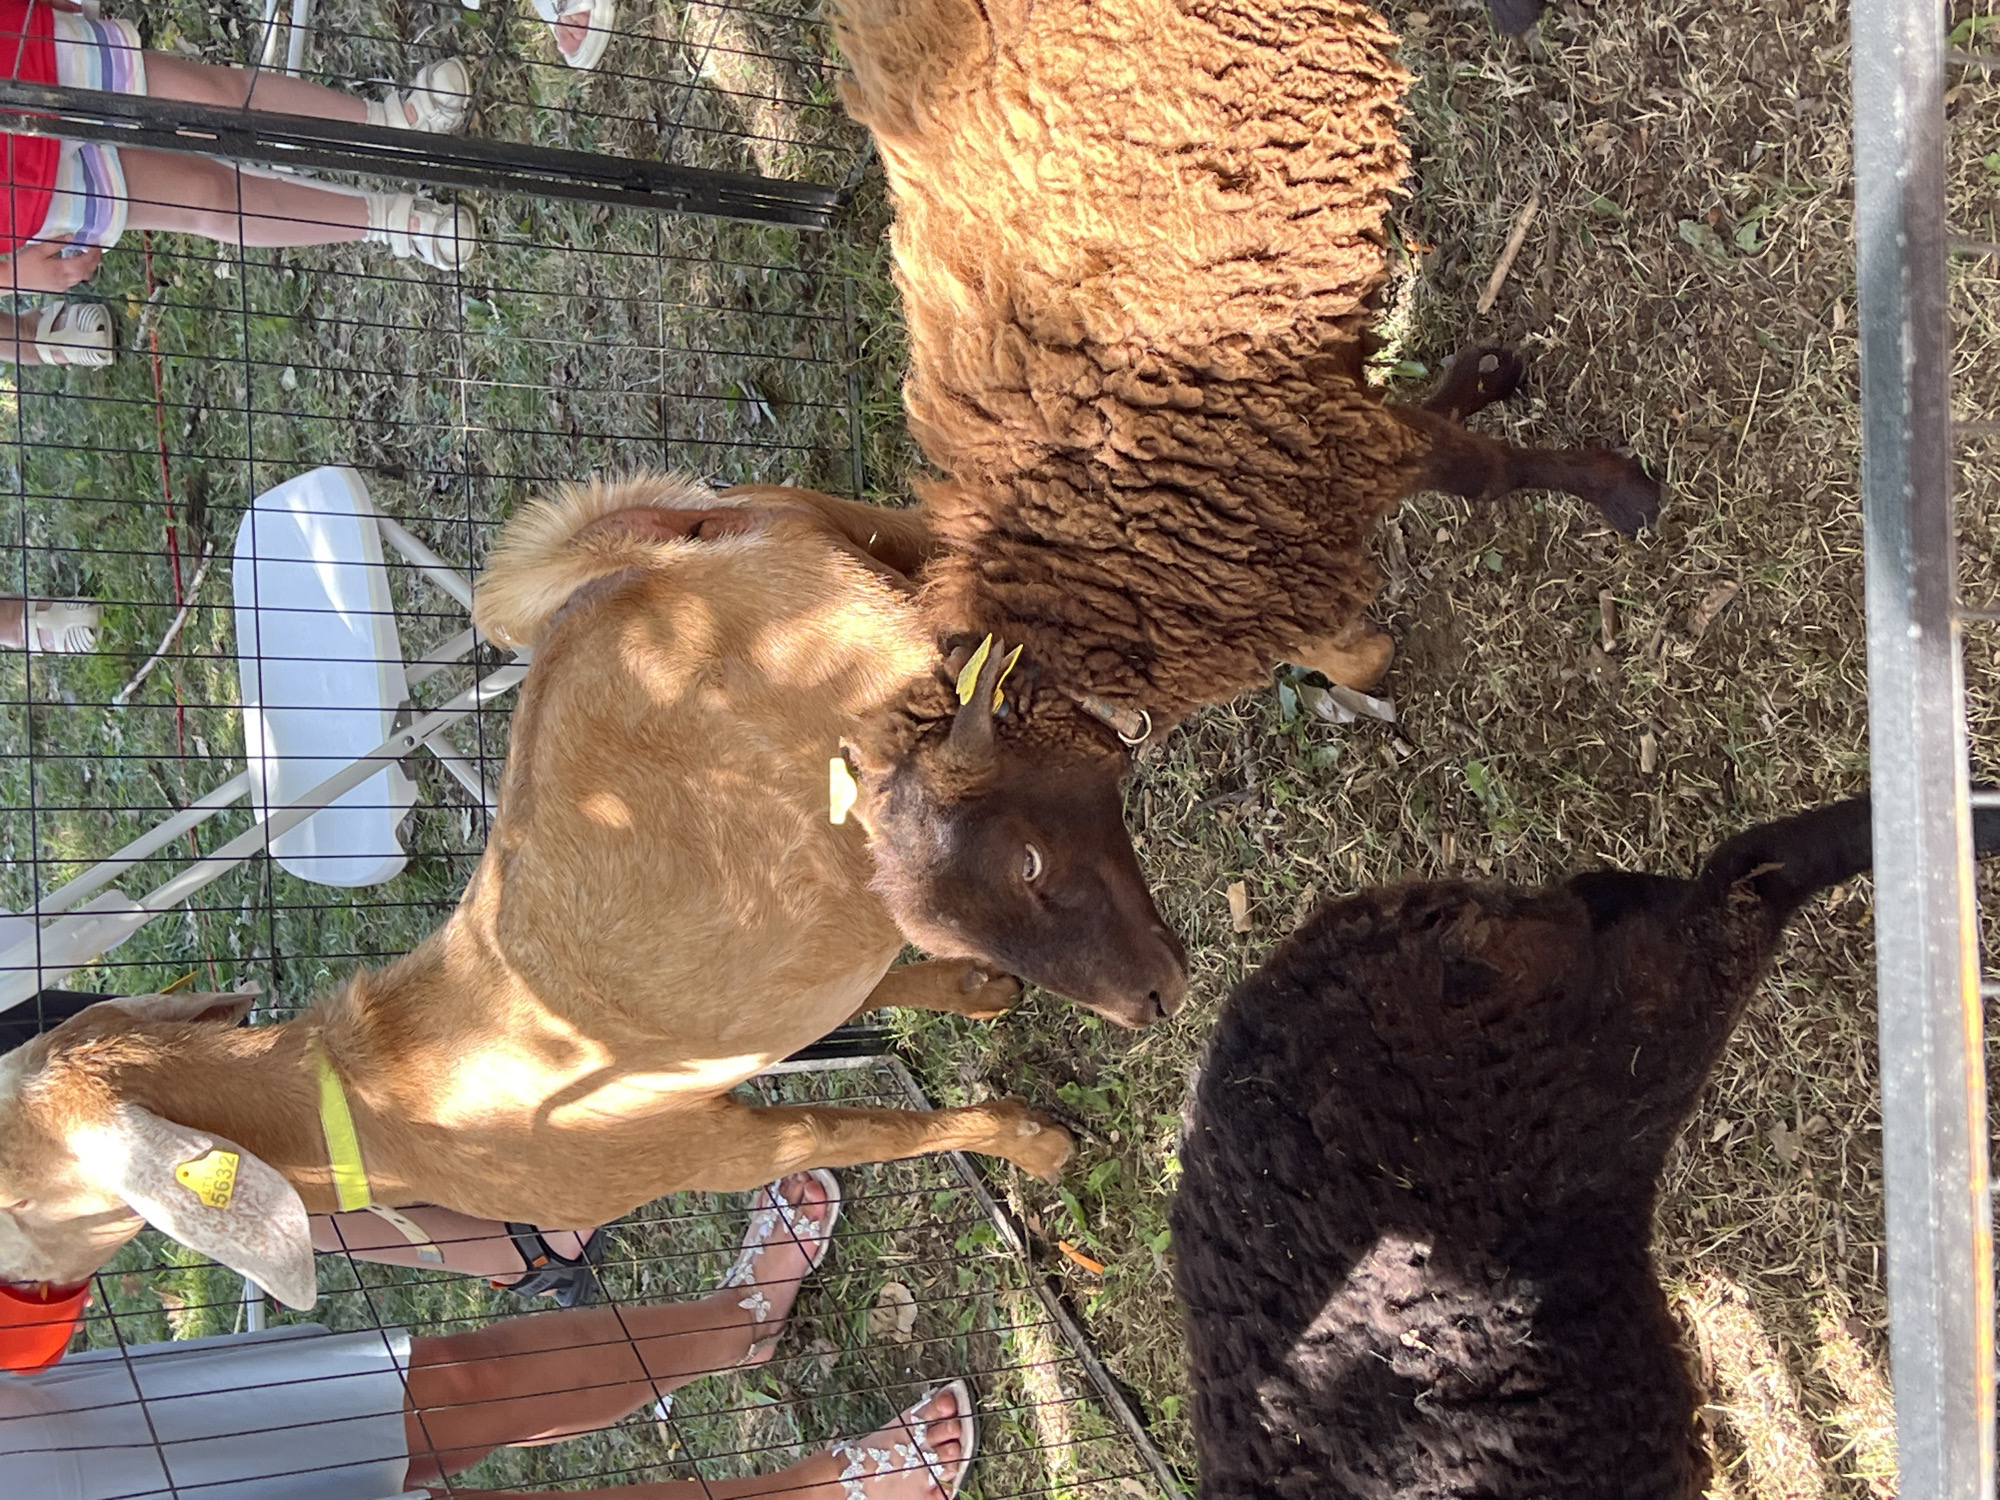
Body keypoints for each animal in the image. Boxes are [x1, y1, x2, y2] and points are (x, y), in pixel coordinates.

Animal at [0, 478, 1074, 1312]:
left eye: (11, 1200)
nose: (30, 1292)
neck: (368, 1101)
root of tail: (638, 561)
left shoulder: (714, 1151)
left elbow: (870, 1134)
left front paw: (1033, 1144)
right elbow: (868, 1010)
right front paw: (980, 993)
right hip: (860, 540)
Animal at [825, 0, 1661, 1026]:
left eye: (1027, 861)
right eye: (956, 949)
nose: (1151, 1004)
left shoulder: (1314, 440)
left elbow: (1489, 475)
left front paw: (1620, 492)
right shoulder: (1271, 513)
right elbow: (1339, 629)